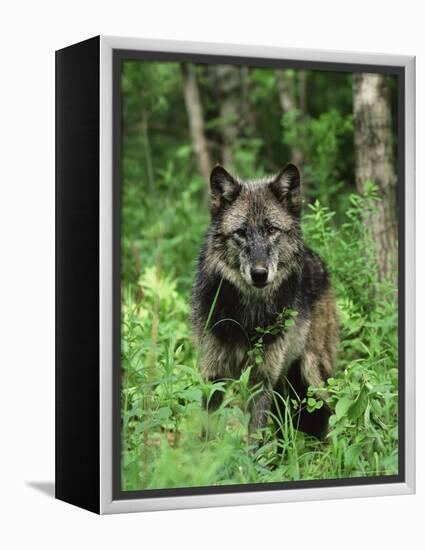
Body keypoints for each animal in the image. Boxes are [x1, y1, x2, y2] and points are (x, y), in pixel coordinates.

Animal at [190, 162, 336, 442]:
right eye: (241, 233)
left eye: (271, 230)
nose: (259, 274)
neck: (247, 316)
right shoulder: (213, 373)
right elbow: (208, 430)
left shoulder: (262, 379)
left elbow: (254, 438)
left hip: (311, 375)